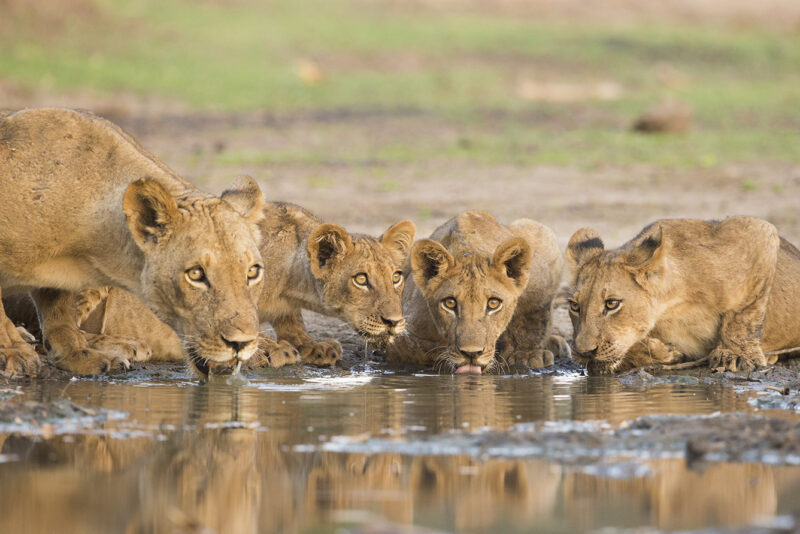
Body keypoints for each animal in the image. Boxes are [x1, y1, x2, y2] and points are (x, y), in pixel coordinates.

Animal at [0, 108, 266, 378]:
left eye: (252, 272)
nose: (241, 343)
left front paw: (76, 355)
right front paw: (14, 353)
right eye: (195, 274)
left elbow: (59, 311)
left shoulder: (58, 281)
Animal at [60, 202, 416, 368]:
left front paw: (312, 346)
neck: (290, 281)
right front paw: (270, 349)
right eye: (361, 279)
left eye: (396, 277)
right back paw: (123, 346)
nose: (394, 322)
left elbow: (292, 324)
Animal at [385, 211, 568, 374]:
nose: (471, 353)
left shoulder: (544, 257)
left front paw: (526, 355)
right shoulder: (402, 337)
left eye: (493, 303)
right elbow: (421, 349)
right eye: (449, 303)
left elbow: (533, 319)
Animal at [565, 217, 800, 374]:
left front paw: (736, 355)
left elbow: (744, 314)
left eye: (612, 303)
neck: (669, 308)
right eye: (574, 306)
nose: (583, 352)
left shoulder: (756, 232)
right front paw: (662, 352)